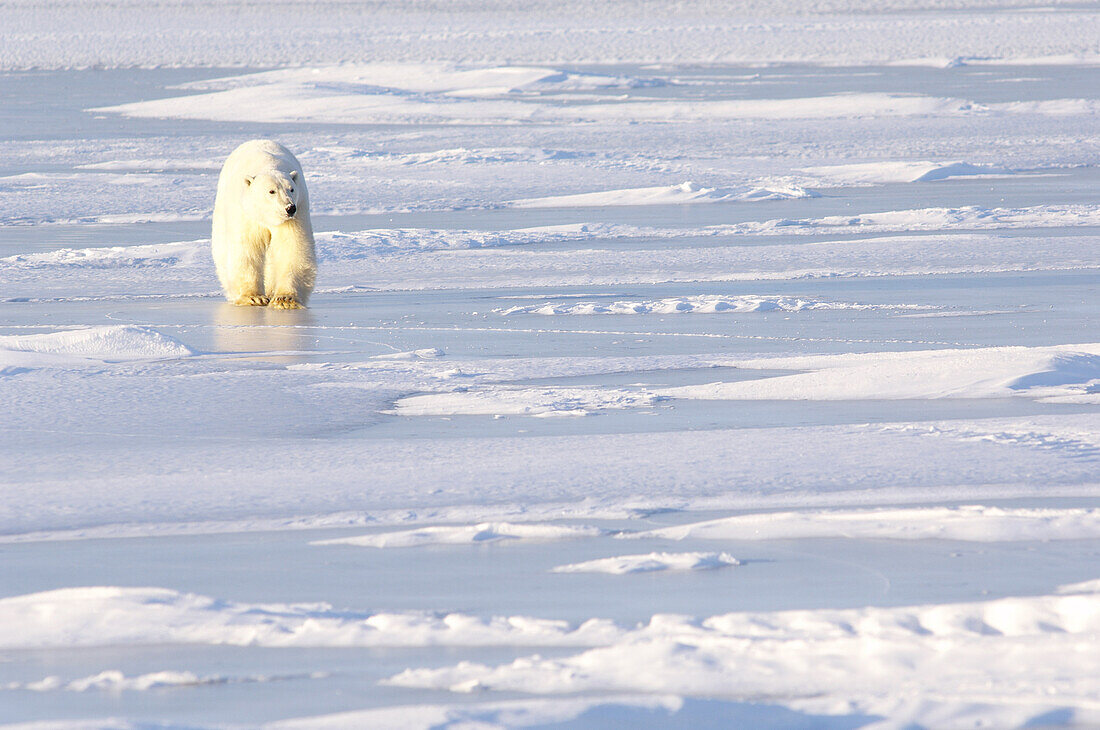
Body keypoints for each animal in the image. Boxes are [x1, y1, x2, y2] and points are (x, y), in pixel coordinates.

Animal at [211, 139, 316, 307]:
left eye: (291, 189)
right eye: (271, 191)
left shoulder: (297, 214)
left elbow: (292, 247)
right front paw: (254, 297)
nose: (290, 208)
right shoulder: (246, 214)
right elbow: (247, 249)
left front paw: (284, 299)